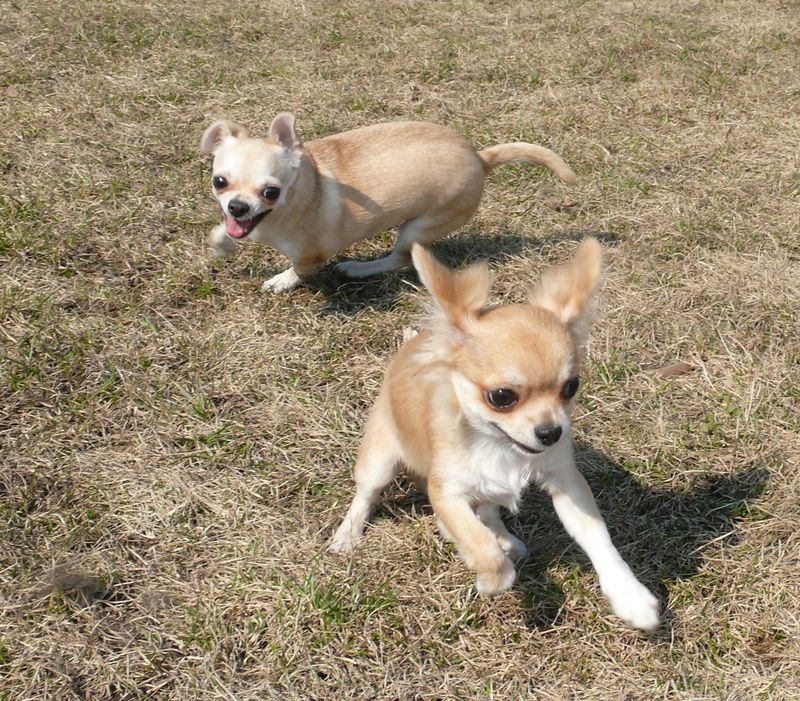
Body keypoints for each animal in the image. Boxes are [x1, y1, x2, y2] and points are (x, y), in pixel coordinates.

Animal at [200, 114, 576, 293]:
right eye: (220, 182)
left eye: (271, 192)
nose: (238, 207)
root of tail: (481, 158)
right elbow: (222, 233)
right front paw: (221, 245)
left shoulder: (311, 256)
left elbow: (300, 270)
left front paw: (281, 280)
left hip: (418, 227)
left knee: (400, 259)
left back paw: (359, 268)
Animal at [329, 239, 660, 631]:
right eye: (502, 397)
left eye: (571, 387)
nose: (551, 432)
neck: (498, 446)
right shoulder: (446, 492)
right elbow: (476, 541)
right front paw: (492, 578)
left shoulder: (565, 480)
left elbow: (596, 535)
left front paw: (629, 594)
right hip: (379, 460)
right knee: (367, 495)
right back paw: (348, 534)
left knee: (488, 510)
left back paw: (506, 540)